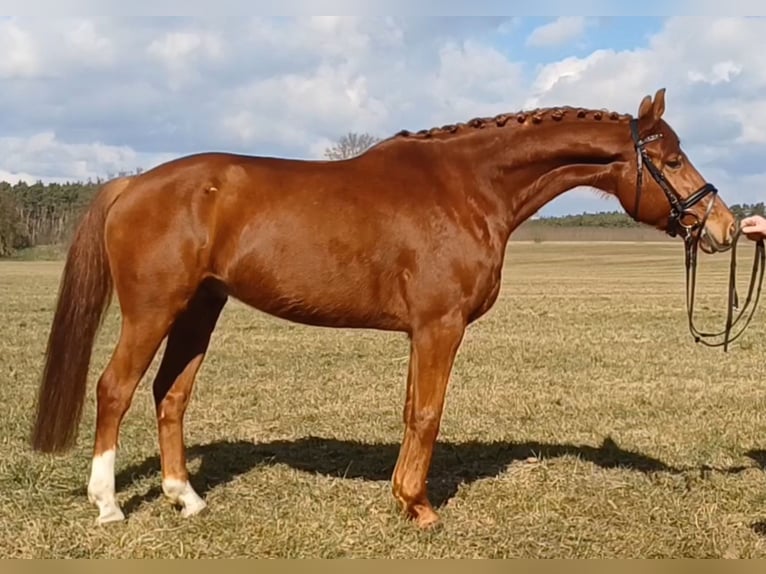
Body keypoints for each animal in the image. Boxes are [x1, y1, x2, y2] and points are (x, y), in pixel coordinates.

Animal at [30, 88, 739, 529]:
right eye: (672, 158)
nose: (725, 227)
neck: (469, 188)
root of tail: (131, 183)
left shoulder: (421, 332)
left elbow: (409, 413)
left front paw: (402, 498)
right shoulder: (439, 327)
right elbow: (427, 414)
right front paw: (419, 509)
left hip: (201, 308)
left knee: (170, 394)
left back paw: (187, 498)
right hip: (154, 310)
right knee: (115, 388)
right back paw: (108, 506)